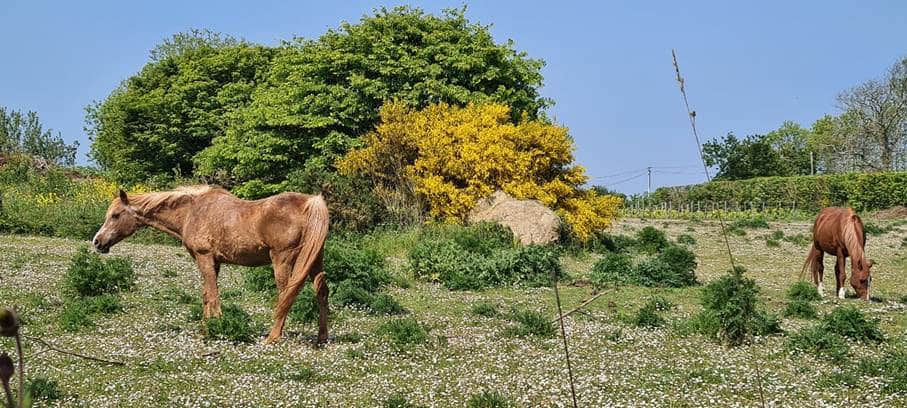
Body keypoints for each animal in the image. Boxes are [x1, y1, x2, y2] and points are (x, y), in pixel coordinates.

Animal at [91, 185, 330, 344]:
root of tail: (309, 202)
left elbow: (213, 295)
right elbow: (207, 294)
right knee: (321, 292)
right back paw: (322, 337)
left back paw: (273, 337)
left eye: (115, 215)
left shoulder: (204, 257)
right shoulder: (213, 262)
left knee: (285, 294)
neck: (192, 211)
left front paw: (217, 328)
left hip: (282, 260)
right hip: (314, 261)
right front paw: (205, 329)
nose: (97, 242)